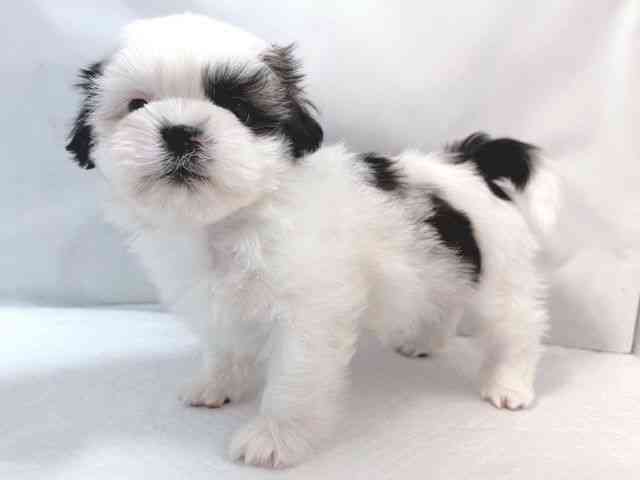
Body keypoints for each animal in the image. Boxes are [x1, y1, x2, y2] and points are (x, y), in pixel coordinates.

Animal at [66, 13, 559, 468]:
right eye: (136, 104)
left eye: (241, 111)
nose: (179, 131)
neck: (232, 219)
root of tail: (470, 163)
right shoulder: (218, 303)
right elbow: (224, 347)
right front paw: (217, 385)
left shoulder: (308, 314)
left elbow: (294, 380)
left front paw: (274, 438)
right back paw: (424, 340)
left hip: (498, 270)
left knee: (517, 324)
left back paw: (509, 383)